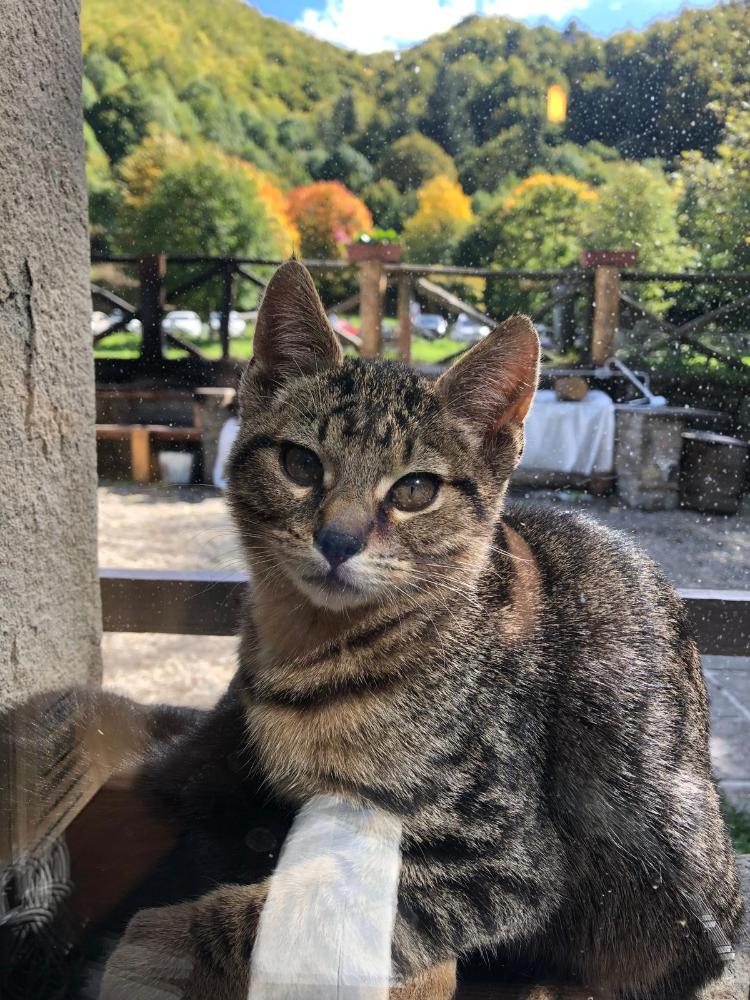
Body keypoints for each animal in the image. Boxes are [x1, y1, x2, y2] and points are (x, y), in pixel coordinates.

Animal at [103, 260, 744, 1000]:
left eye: (414, 491)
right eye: (300, 464)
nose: (338, 540)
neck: (313, 645)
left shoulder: (507, 858)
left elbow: (302, 911)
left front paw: (174, 938)